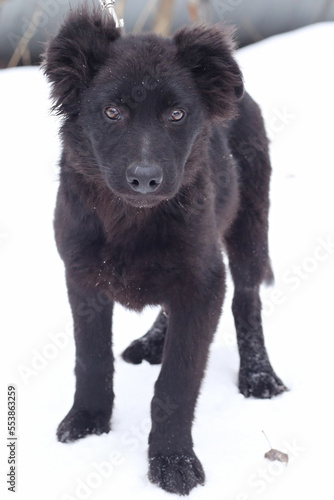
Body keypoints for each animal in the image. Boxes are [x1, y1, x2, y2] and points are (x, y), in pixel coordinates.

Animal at [43, 7, 286, 496]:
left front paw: (173, 462)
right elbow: (90, 360)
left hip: (249, 226)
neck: (132, 218)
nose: (144, 178)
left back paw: (258, 376)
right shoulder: (82, 278)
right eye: (111, 112)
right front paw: (88, 421)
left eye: (176, 114)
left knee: (247, 301)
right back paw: (153, 341)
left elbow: (176, 383)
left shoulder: (204, 281)